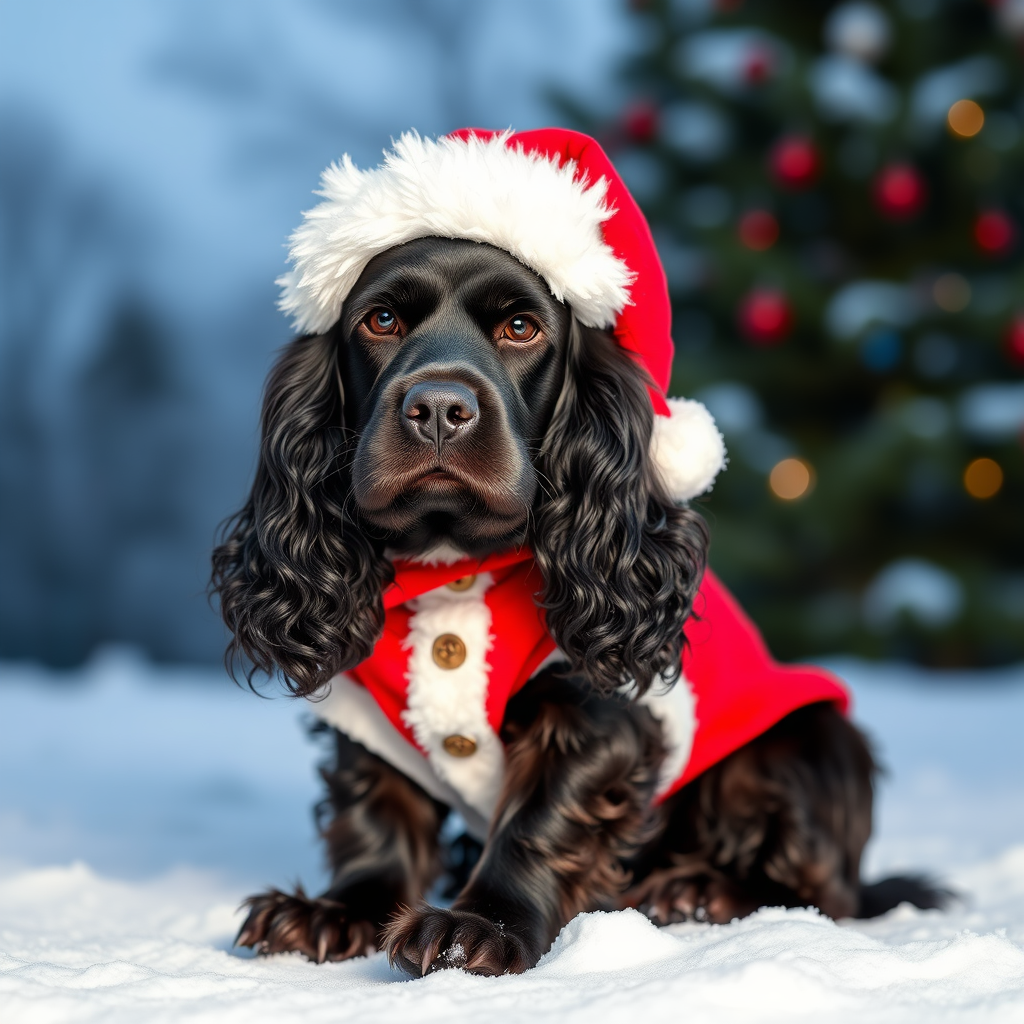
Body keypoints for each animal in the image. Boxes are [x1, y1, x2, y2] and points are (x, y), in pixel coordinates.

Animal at [209, 128, 942, 974]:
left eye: (522, 329)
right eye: (381, 319)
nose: (437, 408)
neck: (457, 565)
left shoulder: (599, 710)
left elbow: (538, 821)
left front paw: (479, 926)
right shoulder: (369, 719)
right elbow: (376, 814)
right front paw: (338, 911)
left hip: (808, 740)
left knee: (824, 890)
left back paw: (699, 889)